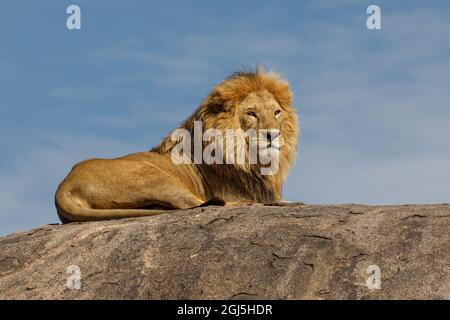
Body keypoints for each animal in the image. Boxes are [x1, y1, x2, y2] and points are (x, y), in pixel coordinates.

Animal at [55, 69, 298, 222]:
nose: (273, 135)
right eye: (251, 113)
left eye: (276, 112)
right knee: (197, 205)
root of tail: (63, 186)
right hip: (152, 177)